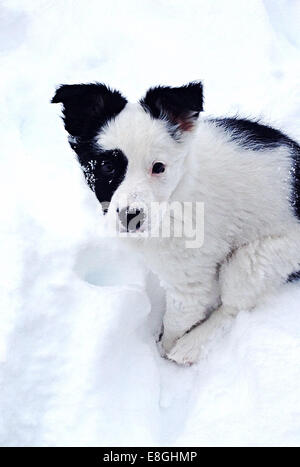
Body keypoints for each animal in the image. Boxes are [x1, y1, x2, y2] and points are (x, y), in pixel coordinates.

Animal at [52, 81, 300, 366]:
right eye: (107, 167)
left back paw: (191, 346)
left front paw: (164, 349)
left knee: (233, 305)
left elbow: (179, 318)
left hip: (259, 258)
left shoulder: (188, 276)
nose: (130, 216)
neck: (177, 192)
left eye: (158, 167)